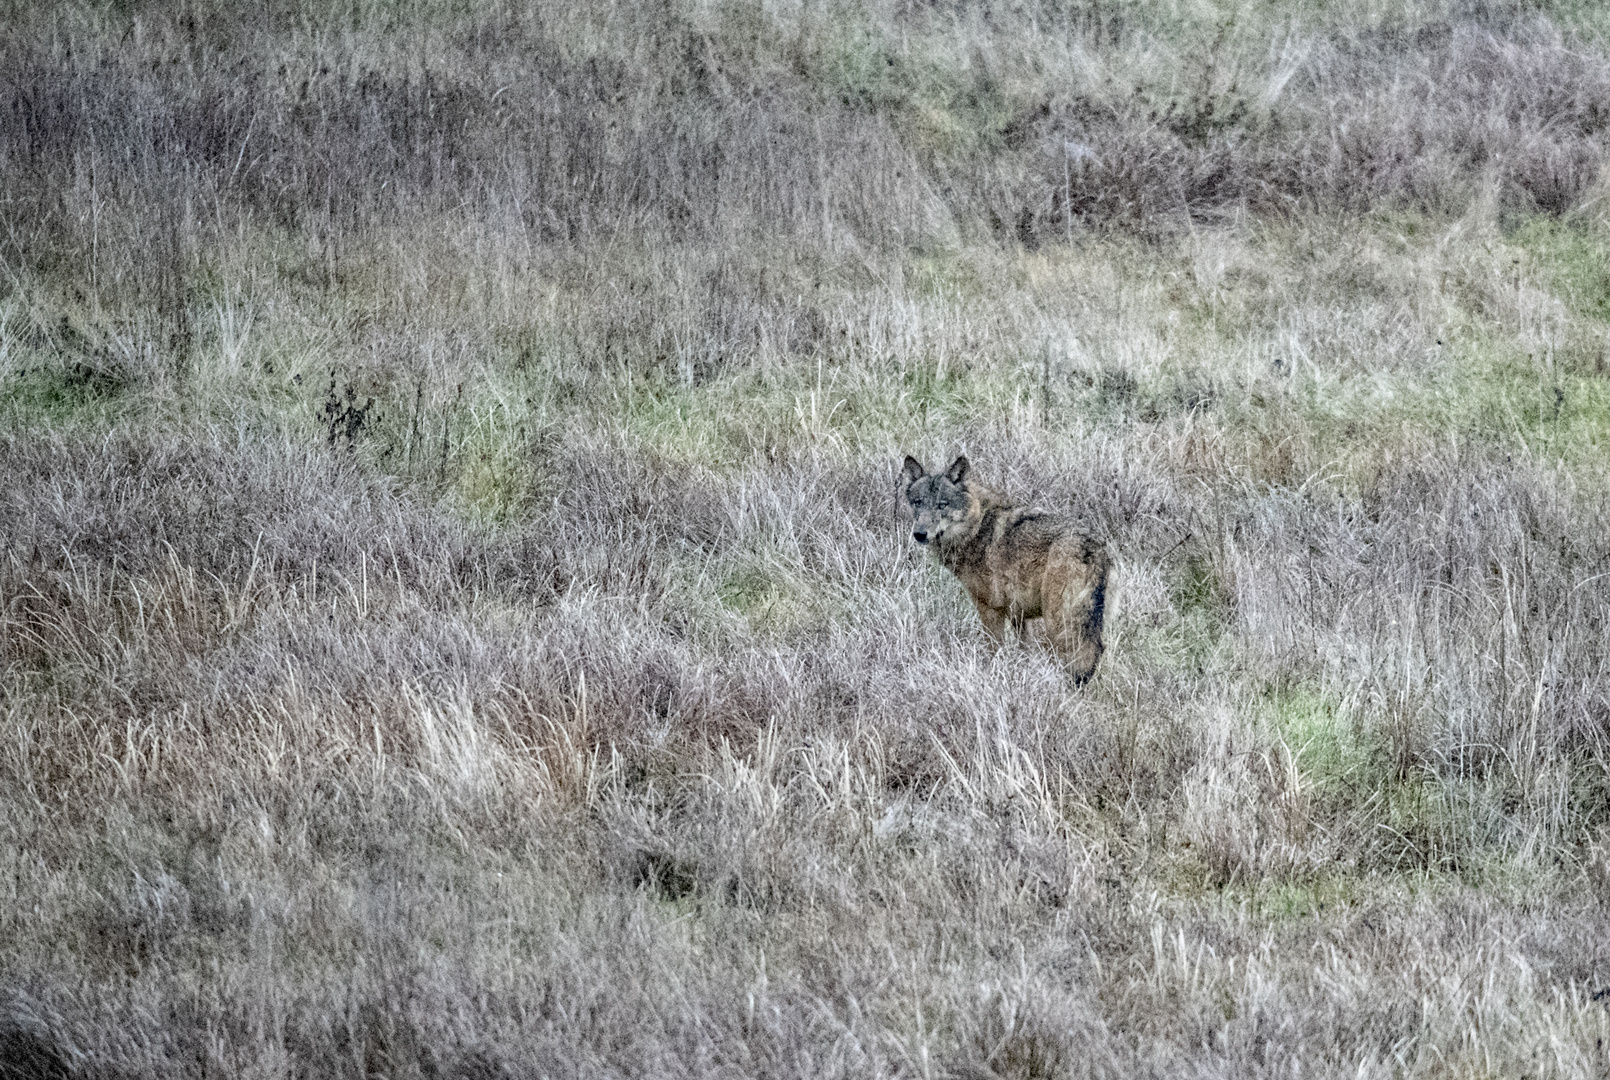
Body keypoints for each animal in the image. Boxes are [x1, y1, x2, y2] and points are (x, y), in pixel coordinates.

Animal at [901, 457, 1114, 685]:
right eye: (918, 503)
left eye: (942, 505)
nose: (920, 534)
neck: (976, 529)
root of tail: (1092, 547)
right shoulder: (1018, 615)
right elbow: (1025, 651)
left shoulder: (990, 608)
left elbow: (994, 649)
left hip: (1059, 625)